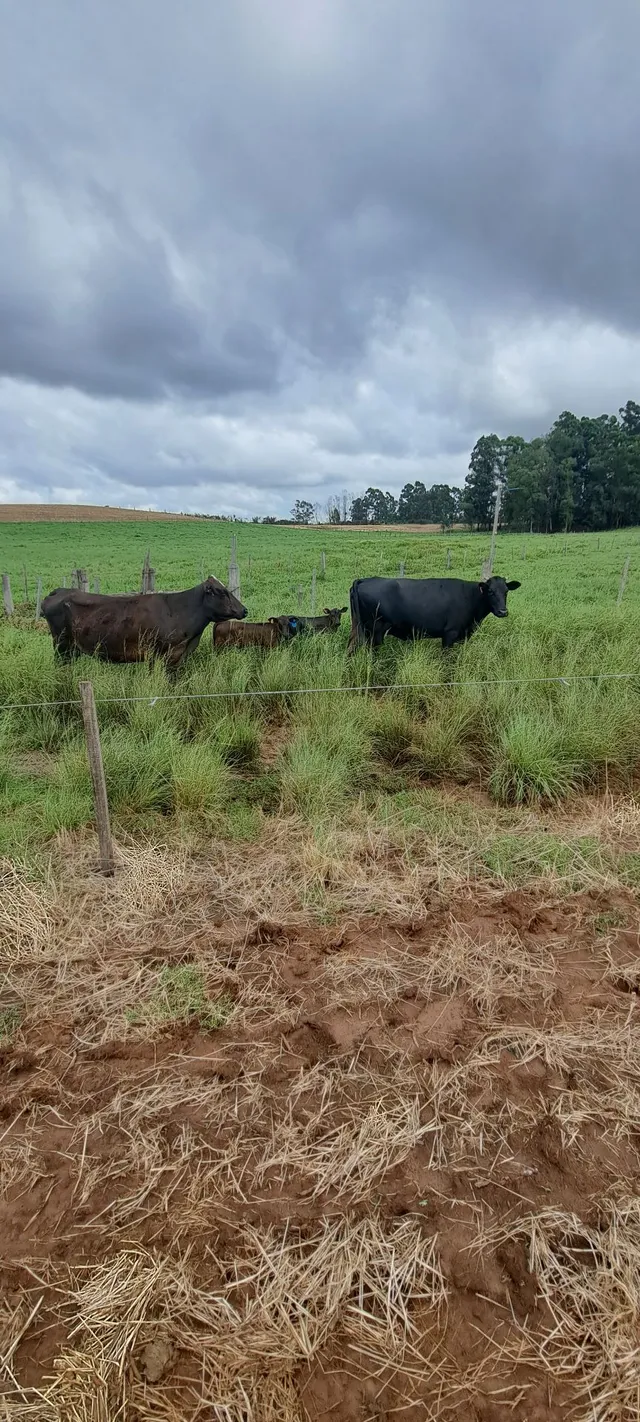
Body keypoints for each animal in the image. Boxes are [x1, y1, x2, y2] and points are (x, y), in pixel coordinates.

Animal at [347, 576, 521, 651]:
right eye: (490, 591)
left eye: (506, 591)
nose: (503, 611)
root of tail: (365, 579)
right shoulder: (450, 634)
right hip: (375, 632)